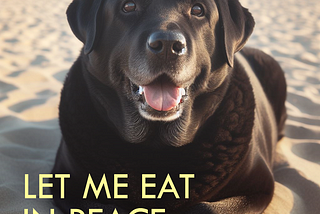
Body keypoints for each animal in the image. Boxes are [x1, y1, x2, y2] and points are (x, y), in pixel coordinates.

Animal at [51, 0, 286, 213]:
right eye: (128, 6)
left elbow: (207, 208)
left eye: (198, 10)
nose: (167, 45)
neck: (157, 144)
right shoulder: (68, 187)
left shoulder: (258, 187)